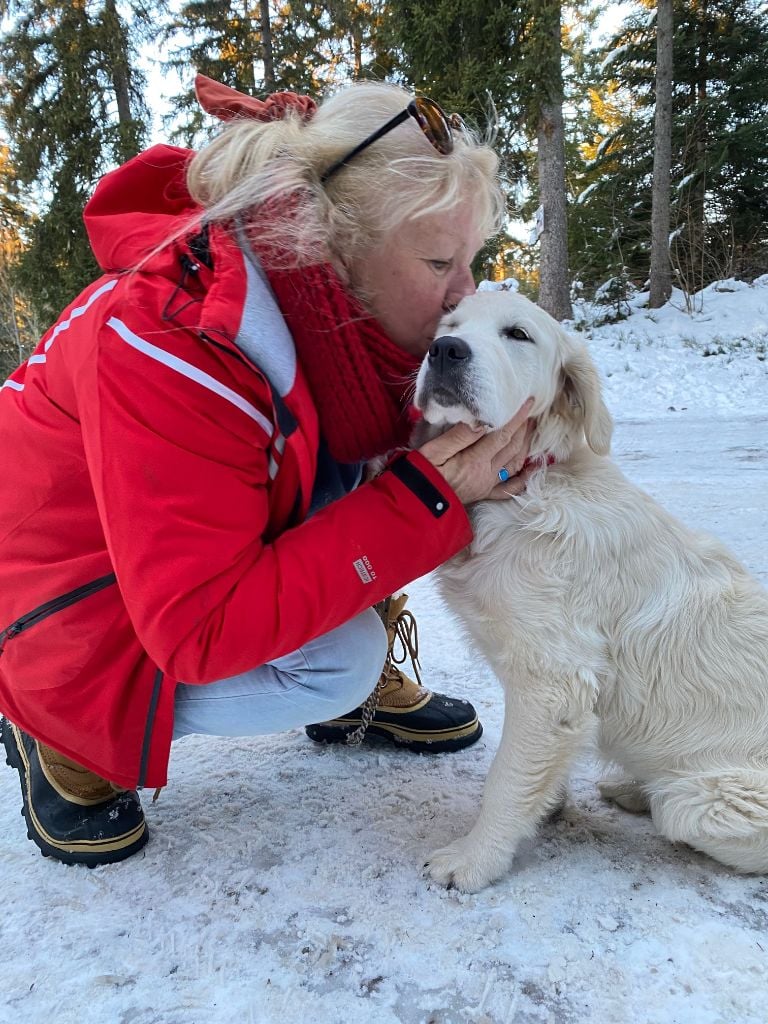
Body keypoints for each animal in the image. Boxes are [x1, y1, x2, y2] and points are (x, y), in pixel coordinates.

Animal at [413, 290, 768, 892]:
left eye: (518, 334)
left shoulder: (552, 681)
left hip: (701, 801)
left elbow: (506, 778)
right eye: (450, 325)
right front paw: (544, 807)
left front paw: (475, 859)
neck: (530, 487)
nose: (446, 351)